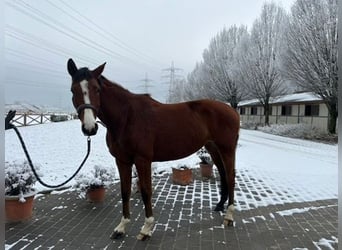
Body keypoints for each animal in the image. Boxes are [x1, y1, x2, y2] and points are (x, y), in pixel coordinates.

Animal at [65, 58, 239, 240]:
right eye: (73, 90)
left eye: (96, 89)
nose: (89, 128)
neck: (127, 118)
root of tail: (232, 110)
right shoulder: (122, 160)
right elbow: (125, 191)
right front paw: (121, 227)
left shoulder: (142, 160)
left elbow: (146, 191)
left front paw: (146, 228)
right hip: (212, 147)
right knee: (223, 173)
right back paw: (220, 206)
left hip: (227, 149)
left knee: (230, 177)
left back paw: (229, 216)